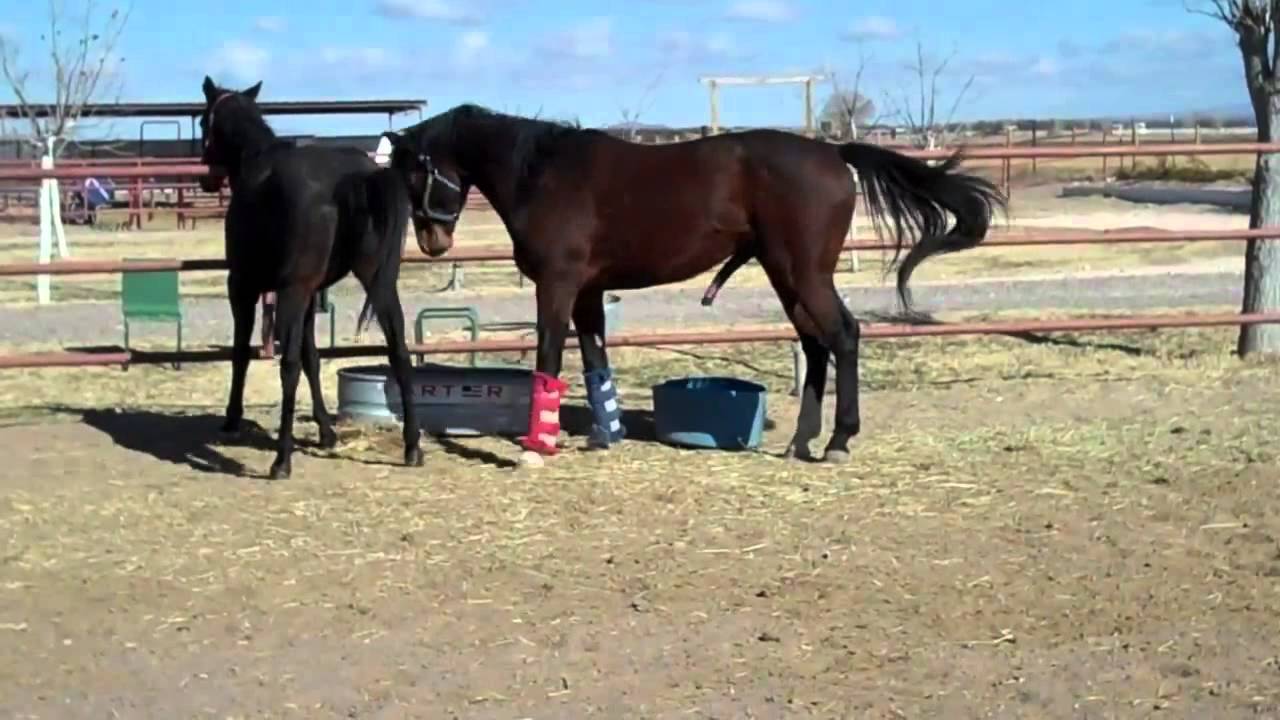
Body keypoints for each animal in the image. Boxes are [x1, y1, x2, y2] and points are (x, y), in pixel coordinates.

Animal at [197, 77, 422, 476]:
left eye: (201, 122)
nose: (206, 177)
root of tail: (355, 177)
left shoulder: (244, 287)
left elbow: (244, 353)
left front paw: (232, 418)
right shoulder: (309, 296)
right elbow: (313, 359)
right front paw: (326, 431)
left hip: (292, 290)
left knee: (287, 367)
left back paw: (281, 460)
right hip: (378, 283)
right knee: (399, 350)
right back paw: (412, 447)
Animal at [381, 105, 1008, 466]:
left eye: (414, 172)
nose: (433, 241)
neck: (546, 172)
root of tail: (833, 151)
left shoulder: (556, 287)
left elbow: (549, 358)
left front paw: (538, 447)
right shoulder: (587, 292)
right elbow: (594, 358)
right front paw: (602, 435)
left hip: (804, 271)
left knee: (844, 335)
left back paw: (836, 442)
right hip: (785, 273)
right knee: (815, 344)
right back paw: (801, 441)